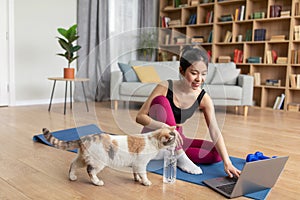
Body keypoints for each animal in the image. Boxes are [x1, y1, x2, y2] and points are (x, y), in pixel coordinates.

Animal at [42, 126, 176, 186]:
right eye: (173, 139)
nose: (177, 144)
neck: (152, 139)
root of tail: (85, 138)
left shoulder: (136, 164)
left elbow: (135, 172)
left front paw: (137, 179)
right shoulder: (141, 163)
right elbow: (143, 173)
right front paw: (145, 181)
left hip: (83, 159)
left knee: (73, 164)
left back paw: (72, 177)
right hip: (98, 162)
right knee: (90, 171)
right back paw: (97, 182)